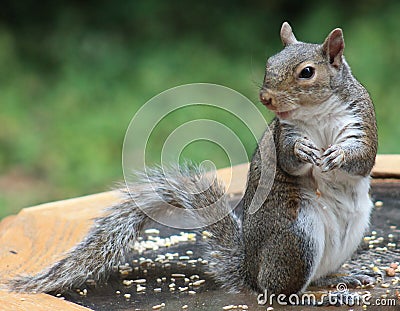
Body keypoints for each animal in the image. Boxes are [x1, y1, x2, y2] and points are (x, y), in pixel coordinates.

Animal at [9, 22, 378, 298]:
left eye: (307, 72)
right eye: (269, 63)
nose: (265, 97)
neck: (316, 114)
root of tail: (251, 268)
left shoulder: (362, 120)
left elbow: (363, 158)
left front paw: (338, 155)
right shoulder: (282, 134)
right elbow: (287, 159)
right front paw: (303, 152)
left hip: (348, 229)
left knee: (312, 277)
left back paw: (338, 278)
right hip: (297, 237)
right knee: (278, 290)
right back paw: (317, 292)